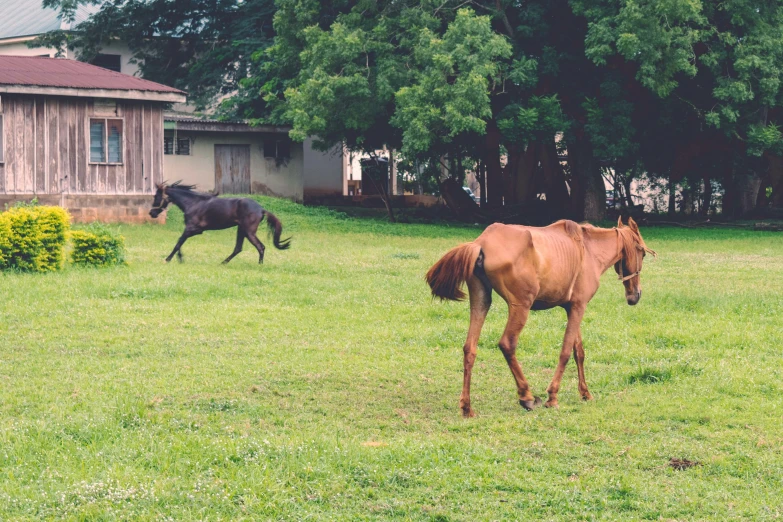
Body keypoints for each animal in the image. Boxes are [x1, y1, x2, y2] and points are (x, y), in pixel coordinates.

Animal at [150, 183, 290, 264]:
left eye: (156, 197)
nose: (151, 213)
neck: (193, 203)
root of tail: (261, 209)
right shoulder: (192, 230)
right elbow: (180, 242)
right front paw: (180, 258)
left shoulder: (193, 229)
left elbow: (178, 242)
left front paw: (168, 259)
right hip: (241, 230)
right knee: (238, 248)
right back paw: (223, 263)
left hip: (249, 231)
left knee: (260, 247)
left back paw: (259, 265)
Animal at [428, 215, 656, 414]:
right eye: (643, 254)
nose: (635, 295)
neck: (589, 251)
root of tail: (481, 243)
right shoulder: (579, 307)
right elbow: (565, 352)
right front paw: (552, 397)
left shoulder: (572, 308)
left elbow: (578, 352)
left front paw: (585, 393)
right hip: (520, 307)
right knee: (507, 344)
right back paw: (526, 396)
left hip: (481, 301)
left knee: (470, 348)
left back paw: (467, 407)